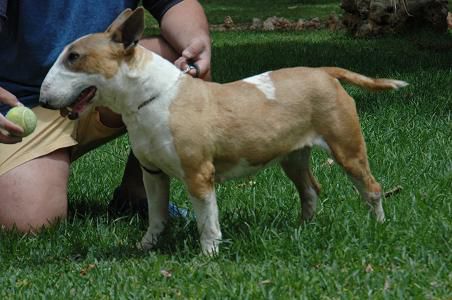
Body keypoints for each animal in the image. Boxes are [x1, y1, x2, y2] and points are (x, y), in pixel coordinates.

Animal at [38, 8, 406, 254]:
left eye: (74, 57)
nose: (42, 98)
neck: (149, 98)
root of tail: (324, 72)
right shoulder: (153, 173)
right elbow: (156, 215)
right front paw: (147, 245)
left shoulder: (199, 175)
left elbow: (207, 220)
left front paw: (209, 254)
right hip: (293, 156)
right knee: (311, 190)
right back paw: (303, 229)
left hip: (346, 146)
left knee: (372, 188)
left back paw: (378, 226)